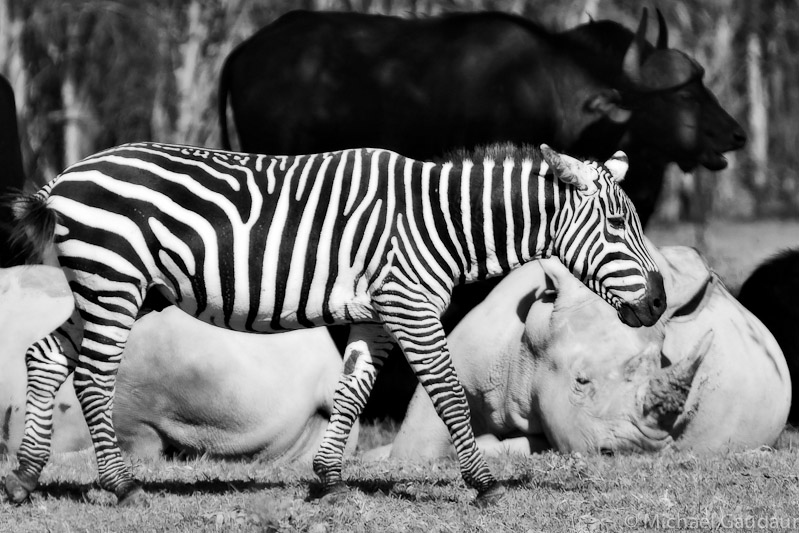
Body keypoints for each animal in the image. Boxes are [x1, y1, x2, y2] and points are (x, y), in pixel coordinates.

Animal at [4, 139, 668, 504]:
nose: (660, 303)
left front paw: (326, 479)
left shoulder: (379, 313)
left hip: (118, 287)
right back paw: (118, 485)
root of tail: (65, 176)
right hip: (113, 279)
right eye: (617, 225)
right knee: (93, 375)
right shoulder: (410, 305)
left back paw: (25, 478)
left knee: (45, 355)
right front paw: (484, 483)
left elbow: (351, 391)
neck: (440, 223)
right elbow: (449, 393)